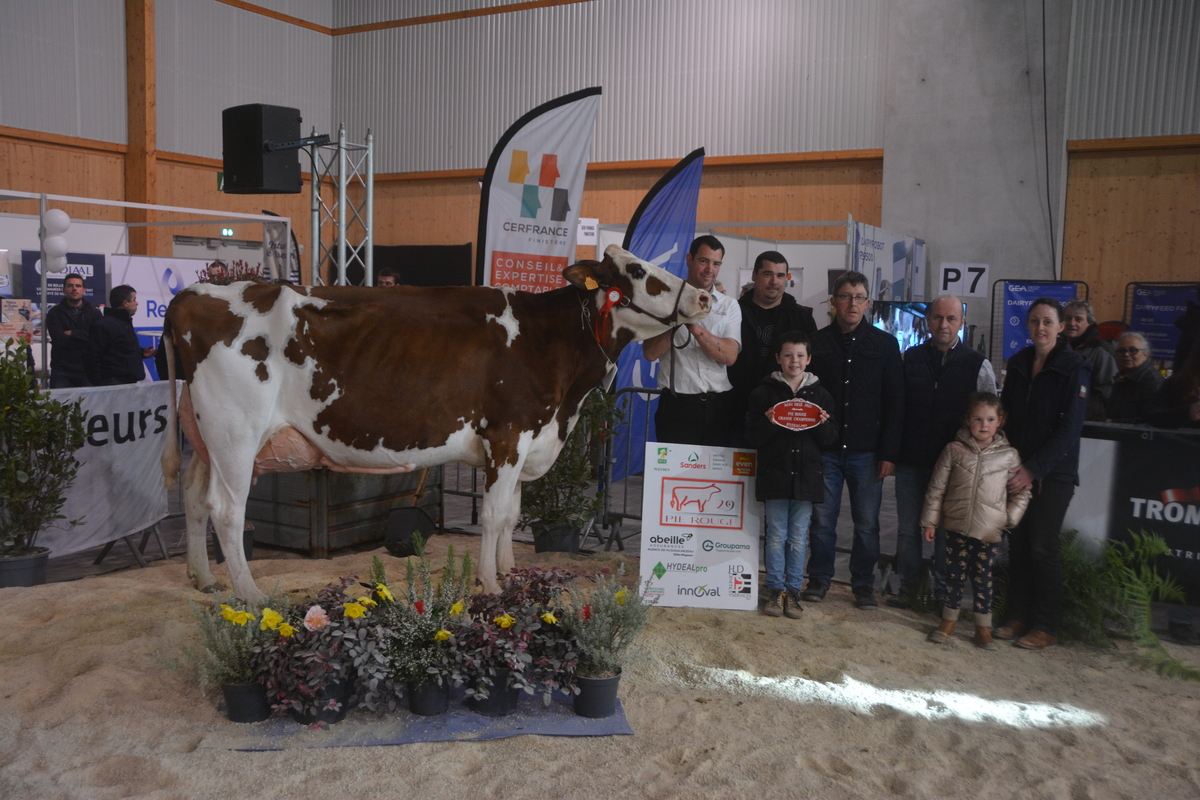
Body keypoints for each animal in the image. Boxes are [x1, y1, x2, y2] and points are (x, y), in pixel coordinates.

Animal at [158, 244, 700, 599]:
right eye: (637, 270)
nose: (703, 297)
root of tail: (196, 292)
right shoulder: (508, 435)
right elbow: (496, 515)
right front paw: (490, 582)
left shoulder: (526, 440)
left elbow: (512, 513)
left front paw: (510, 571)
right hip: (236, 433)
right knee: (227, 509)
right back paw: (249, 594)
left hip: (206, 435)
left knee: (193, 496)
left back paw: (203, 578)